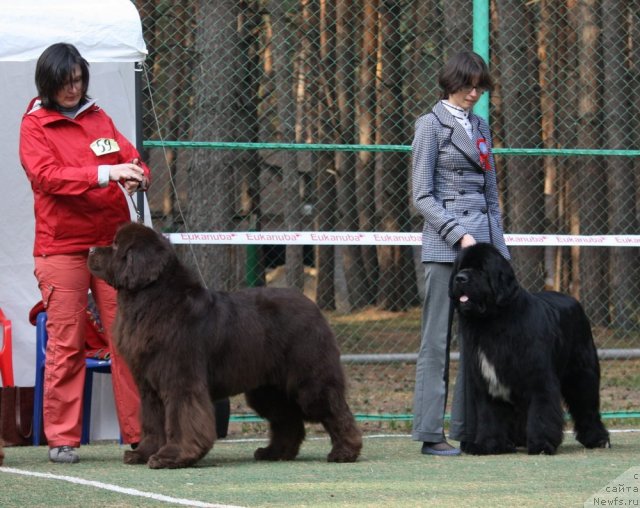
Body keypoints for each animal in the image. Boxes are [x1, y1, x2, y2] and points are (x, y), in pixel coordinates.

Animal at [87, 222, 362, 468]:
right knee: (287, 418)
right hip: (267, 387)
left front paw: (172, 457)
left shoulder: (181, 379)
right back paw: (274, 452)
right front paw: (143, 454)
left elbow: (180, 418)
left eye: (115, 245)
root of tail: (312, 305)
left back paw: (345, 452)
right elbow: (153, 422)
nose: (89, 249)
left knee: (334, 408)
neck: (151, 300)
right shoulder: (149, 386)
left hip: (309, 378)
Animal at [450, 243, 608, 456]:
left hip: (582, 373)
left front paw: (541, 445)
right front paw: (488, 444)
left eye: (481, 270)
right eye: (461, 268)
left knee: (586, 405)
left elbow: (541, 412)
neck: (493, 323)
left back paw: (598, 439)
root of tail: (573, 300)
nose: (460, 278)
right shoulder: (487, 382)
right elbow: (490, 415)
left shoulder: (539, 378)